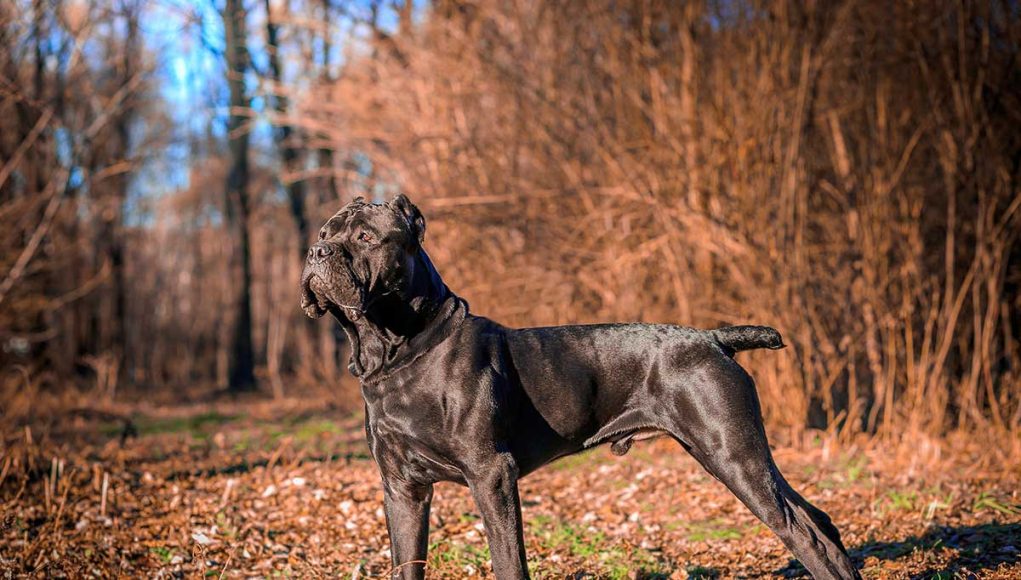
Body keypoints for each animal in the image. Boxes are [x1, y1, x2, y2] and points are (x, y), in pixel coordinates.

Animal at [298, 196, 857, 580]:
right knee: (820, 521)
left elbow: (509, 562)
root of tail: (715, 338)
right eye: (326, 231)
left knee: (805, 534)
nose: (316, 250)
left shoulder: (491, 475)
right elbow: (407, 562)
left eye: (365, 237)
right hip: (740, 454)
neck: (397, 353)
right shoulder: (402, 488)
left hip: (732, 454)